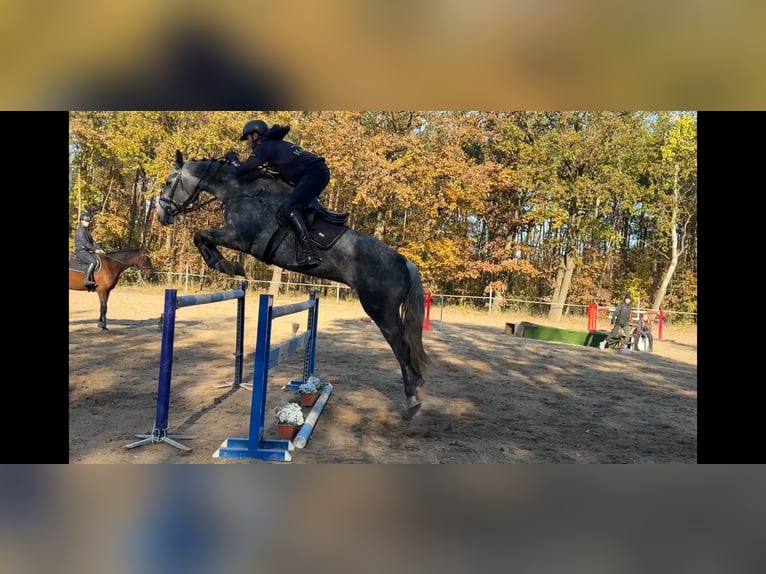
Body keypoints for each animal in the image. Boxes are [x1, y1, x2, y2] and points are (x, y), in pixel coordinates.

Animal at [156, 151, 432, 416]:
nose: (161, 216)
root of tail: (405, 262)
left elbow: (200, 235)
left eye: (169, 182)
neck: (241, 191)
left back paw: (412, 401)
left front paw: (226, 265)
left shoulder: (238, 237)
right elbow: (202, 237)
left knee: (401, 346)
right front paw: (226, 265)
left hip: (380, 310)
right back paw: (417, 388)